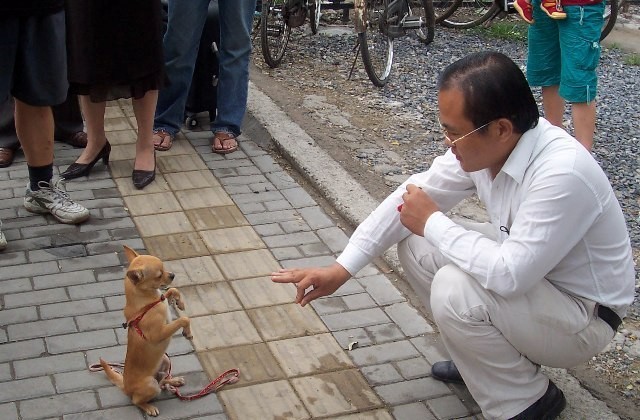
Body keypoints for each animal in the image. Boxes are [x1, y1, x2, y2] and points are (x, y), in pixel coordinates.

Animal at [99, 245, 192, 416]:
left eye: (164, 269)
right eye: (159, 275)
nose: (172, 275)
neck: (148, 301)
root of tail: (125, 386)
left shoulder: (163, 297)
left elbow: (172, 290)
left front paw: (180, 303)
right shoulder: (159, 333)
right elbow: (183, 319)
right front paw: (187, 331)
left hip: (165, 360)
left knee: (162, 381)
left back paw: (173, 380)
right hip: (150, 384)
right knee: (137, 400)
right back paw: (148, 407)